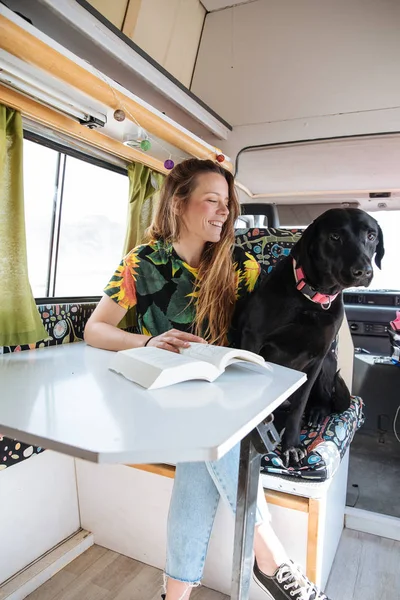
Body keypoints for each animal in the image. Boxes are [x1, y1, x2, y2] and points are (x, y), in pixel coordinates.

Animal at [238, 209, 384, 466]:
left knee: (322, 400)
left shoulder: (318, 357)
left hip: (328, 363)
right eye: (335, 236)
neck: (312, 299)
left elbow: (299, 405)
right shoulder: (252, 338)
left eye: (371, 235)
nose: (362, 271)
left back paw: (317, 412)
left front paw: (291, 446)